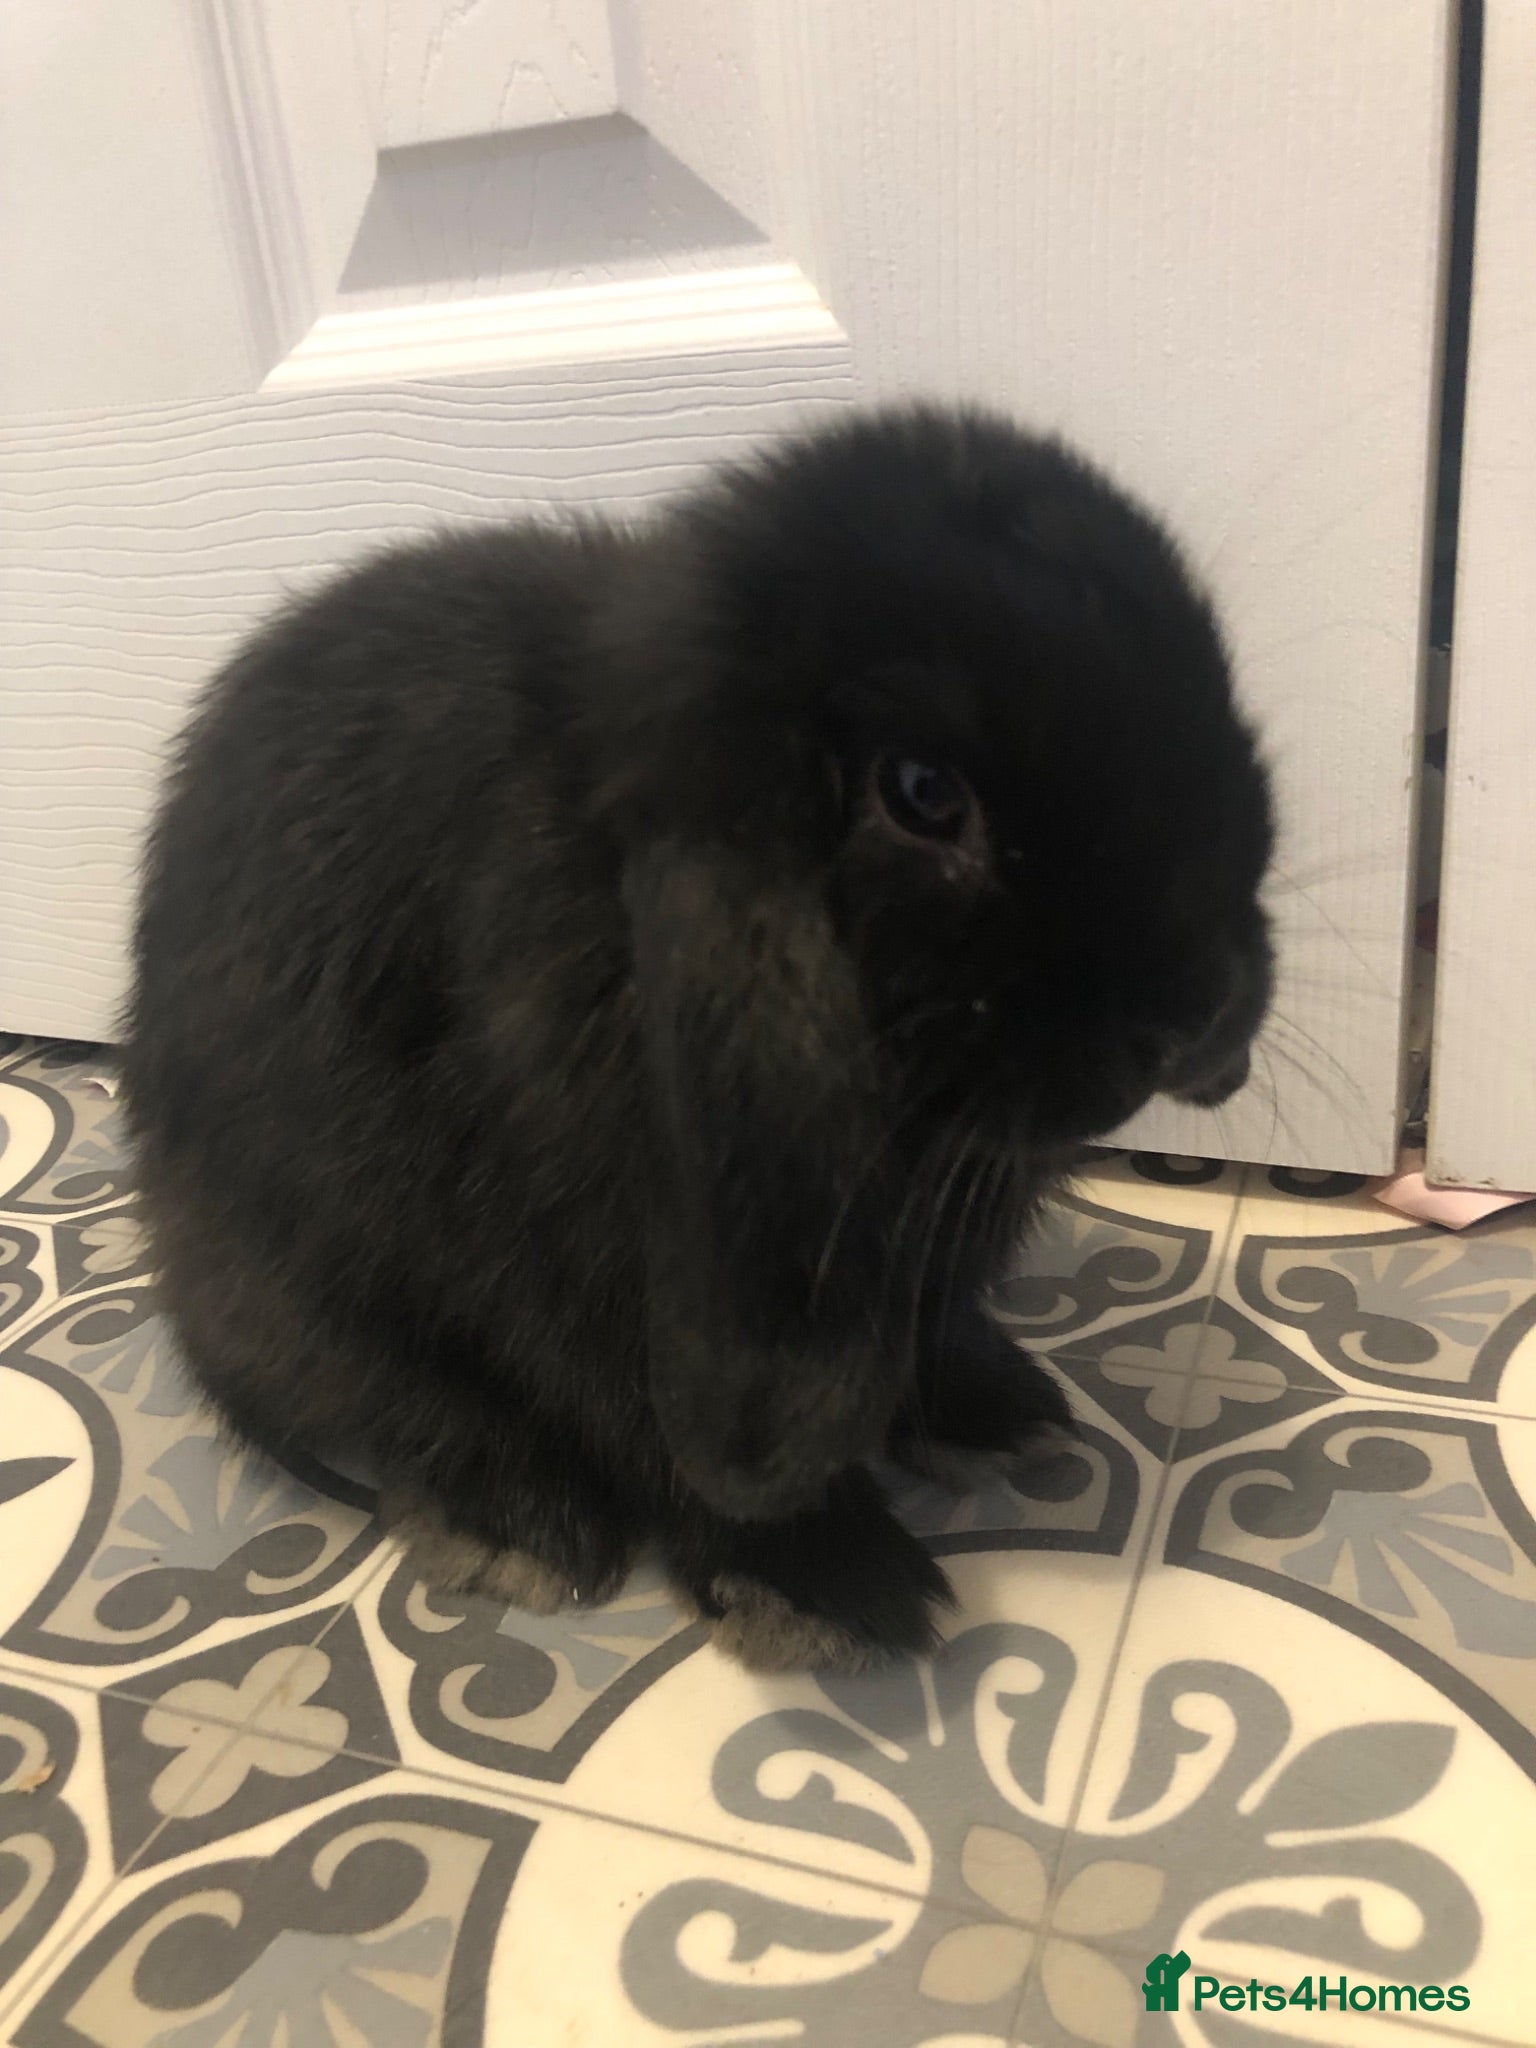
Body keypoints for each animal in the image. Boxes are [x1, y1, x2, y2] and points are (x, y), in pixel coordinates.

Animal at [121, 403, 1274, 1673]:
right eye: (921, 792)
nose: (1199, 1011)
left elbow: (932, 1332)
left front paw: (997, 1413)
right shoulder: (600, 1262)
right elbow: (642, 1421)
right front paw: (825, 1588)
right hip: (308, 1268)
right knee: (392, 1395)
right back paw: (518, 1528)